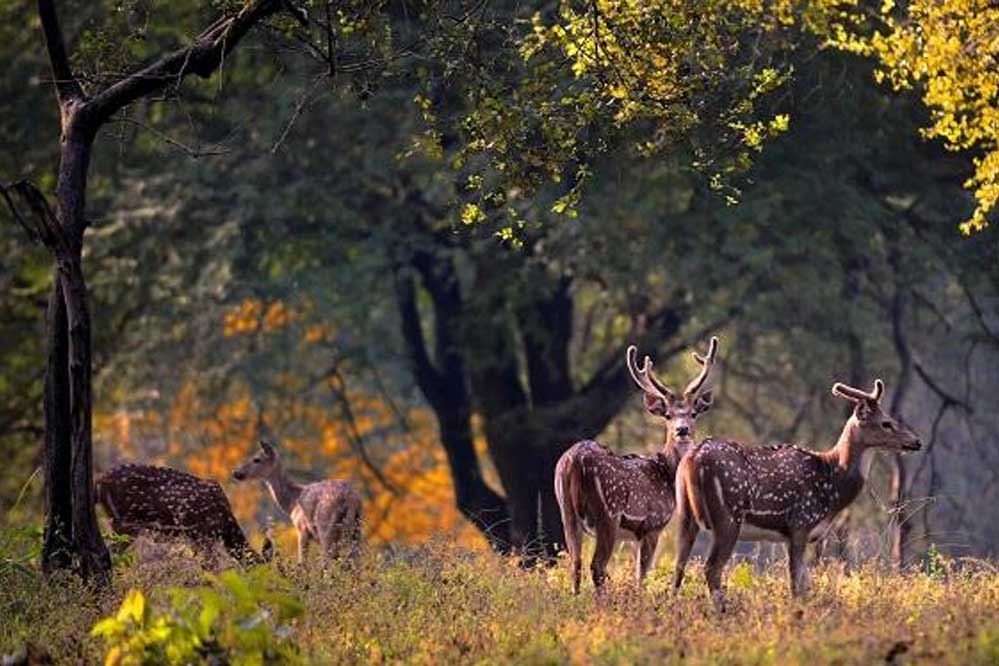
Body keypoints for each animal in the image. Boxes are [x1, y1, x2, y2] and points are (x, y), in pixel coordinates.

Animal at [231, 438, 364, 564]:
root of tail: (350, 499)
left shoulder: (302, 529)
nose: (236, 472)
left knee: (329, 561)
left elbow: (302, 563)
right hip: (357, 529)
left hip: (326, 526)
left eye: (256, 459)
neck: (292, 503)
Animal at [556, 338, 720, 592]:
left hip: (566, 511)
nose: (682, 430)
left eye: (694, 413)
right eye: (668, 415)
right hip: (608, 514)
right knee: (597, 566)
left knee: (575, 564)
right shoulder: (652, 524)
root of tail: (574, 462)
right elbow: (642, 575)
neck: (667, 474)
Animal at [672, 378, 920, 608]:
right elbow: (796, 585)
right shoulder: (800, 523)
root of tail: (692, 460)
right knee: (711, 568)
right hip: (728, 517)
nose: (916, 441)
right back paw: (722, 610)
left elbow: (805, 584)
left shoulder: (790, 535)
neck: (832, 484)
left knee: (679, 565)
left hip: (685, 513)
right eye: (886, 423)